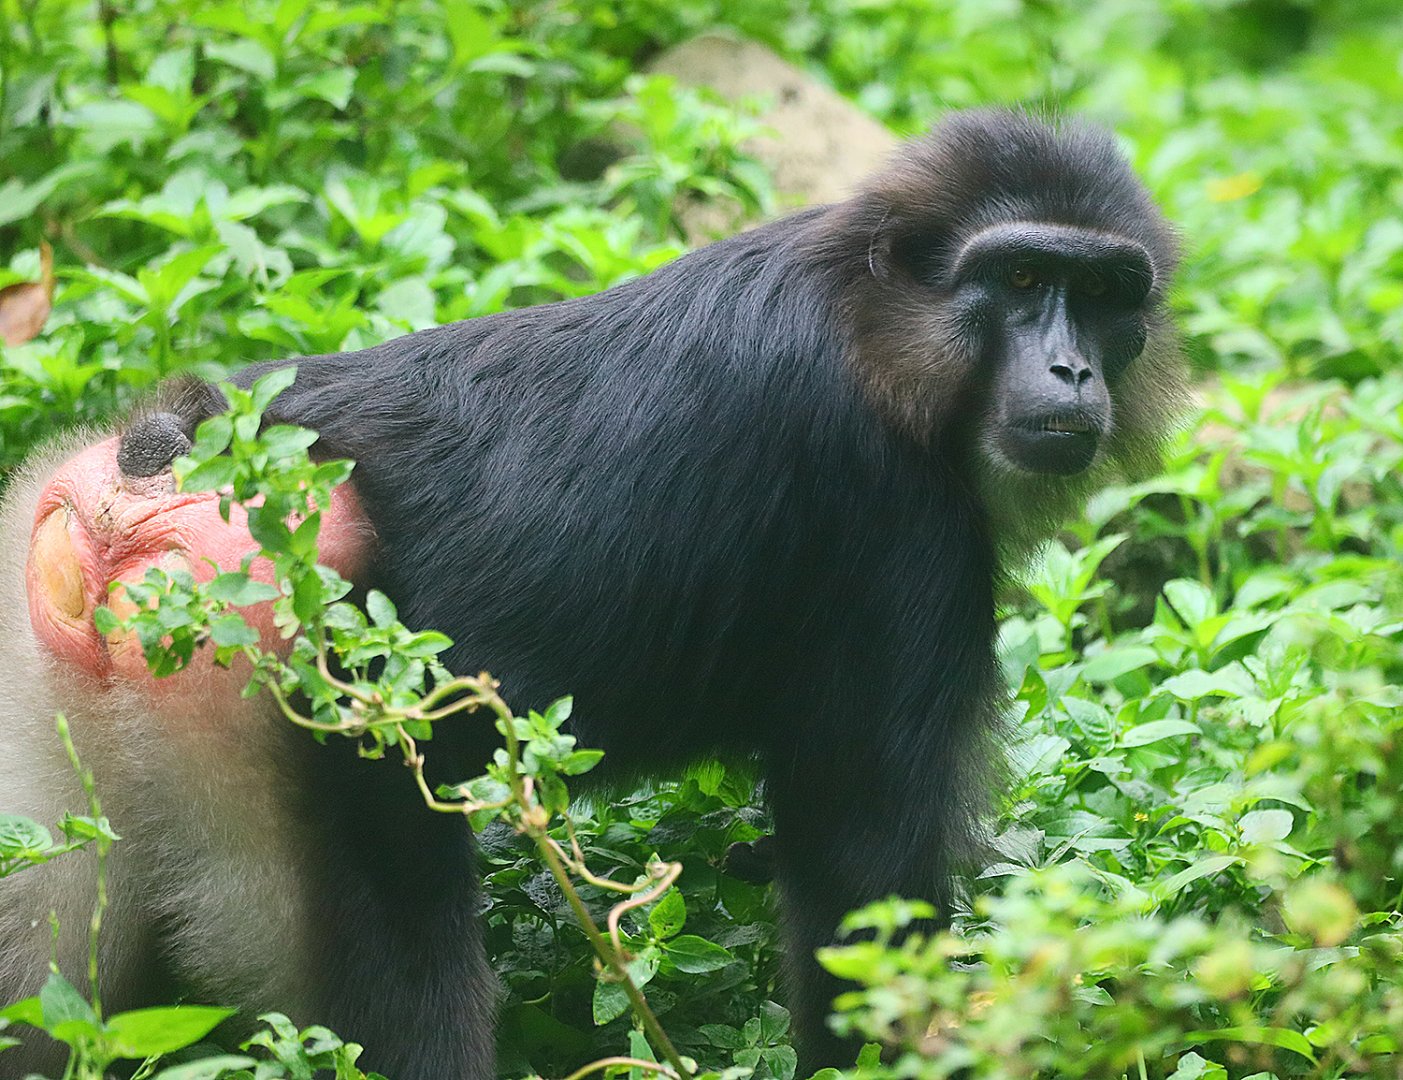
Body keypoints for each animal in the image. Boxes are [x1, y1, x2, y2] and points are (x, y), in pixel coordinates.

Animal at [0, 109, 1184, 1078]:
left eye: (1102, 293)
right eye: (1021, 281)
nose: (1072, 371)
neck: (878, 328)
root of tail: (138, 490)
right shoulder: (893, 526)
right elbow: (864, 884)